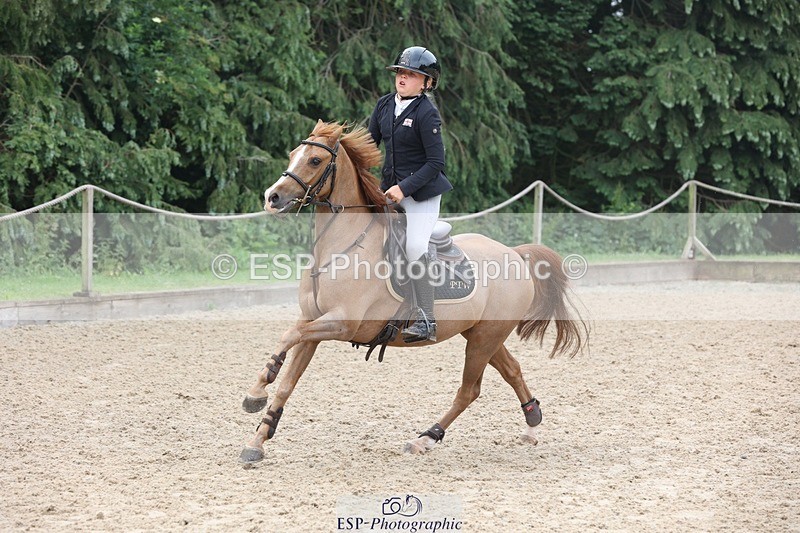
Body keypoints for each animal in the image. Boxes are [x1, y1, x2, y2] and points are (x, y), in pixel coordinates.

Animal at [239, 120, 587, 464]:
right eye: (292, 154)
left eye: (314, 160)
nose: (272, 197)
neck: (343, 246)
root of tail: (514, 253)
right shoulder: (314, 323)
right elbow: (288, 379)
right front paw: (257, 438)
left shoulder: (343, 323)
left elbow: (288, 335)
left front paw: (255, 393)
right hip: (481, 333)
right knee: (512, 371)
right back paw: (531, 425)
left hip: (485, 339)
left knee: (468, 391)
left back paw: (425, 438)